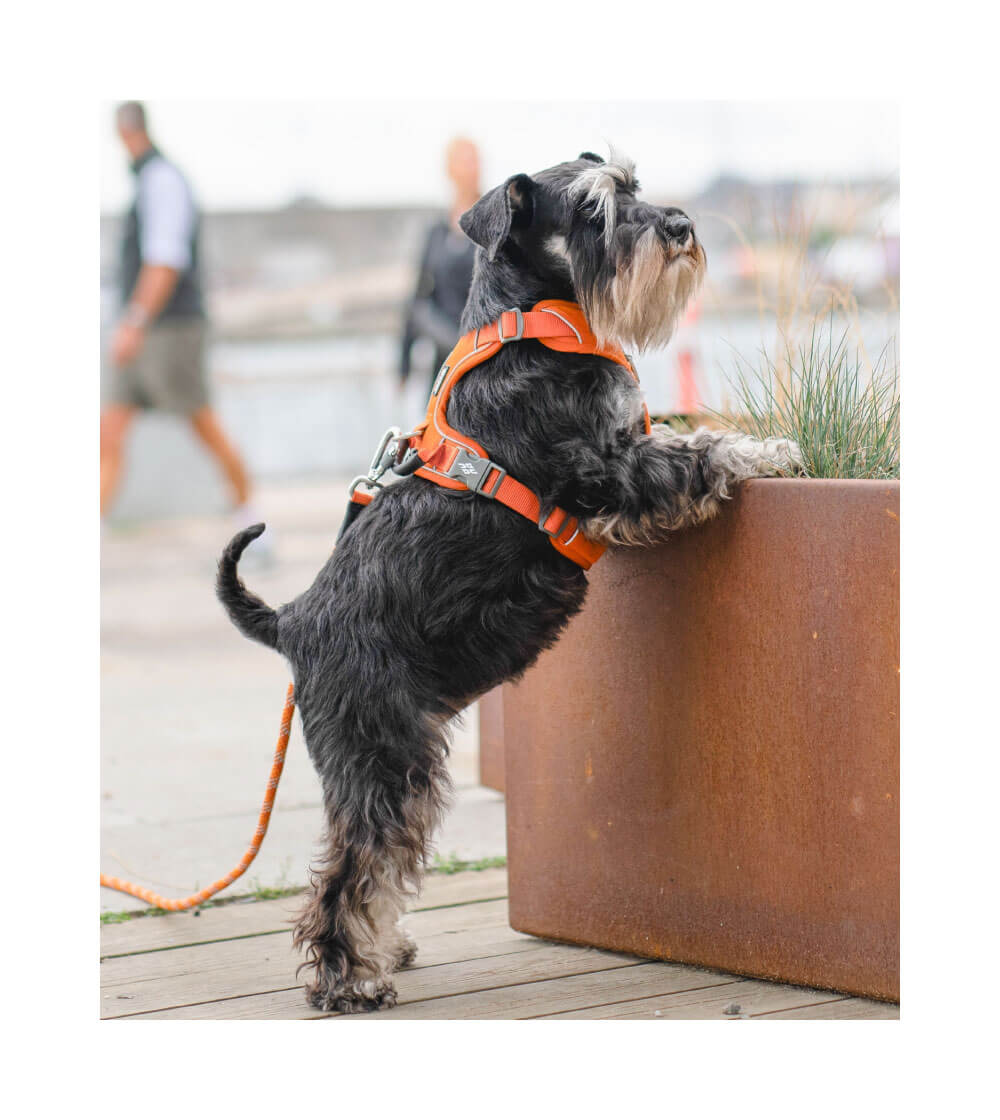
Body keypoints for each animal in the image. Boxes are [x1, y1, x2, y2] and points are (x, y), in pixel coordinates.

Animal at [217, 150, 801, 1013]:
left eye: (632, 182)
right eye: (591, 209)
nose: (678, 226)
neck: (533, 320)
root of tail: (290, 623)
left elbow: (691, 427)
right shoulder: (610, 472)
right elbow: (701, 451)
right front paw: (779, 452)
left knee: (374, 866)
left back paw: (383, 952)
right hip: (385, 760)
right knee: (351, 872)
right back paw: (350, 980)